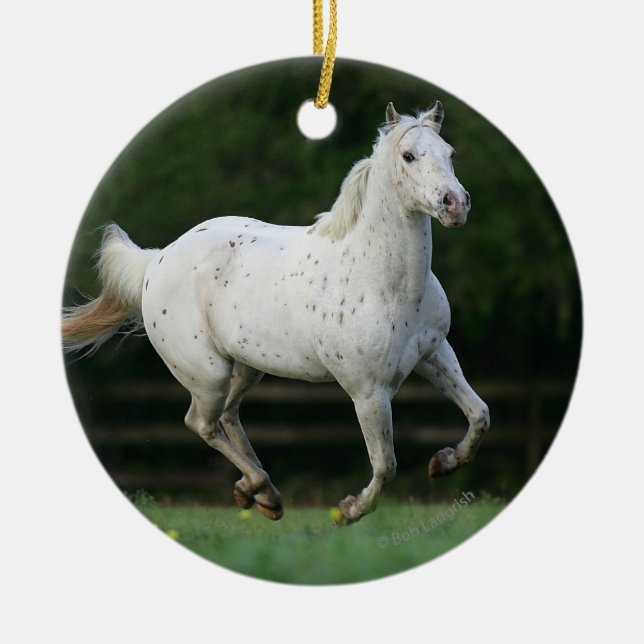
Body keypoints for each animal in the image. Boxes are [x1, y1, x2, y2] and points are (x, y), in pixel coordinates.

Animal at [62, 101, 490, 524]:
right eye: (408, 156)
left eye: (450, 153)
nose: (455, 204)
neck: (385, 282)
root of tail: (157, 260)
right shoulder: (368, 391)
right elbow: (386, 464)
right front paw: (349, 510)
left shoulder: (435, 354)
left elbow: (479, 414)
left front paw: (444, 462)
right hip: (208, 375)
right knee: (201, 422)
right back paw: (260, 488)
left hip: (247, 367)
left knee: (228, 415)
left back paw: (260, 493)